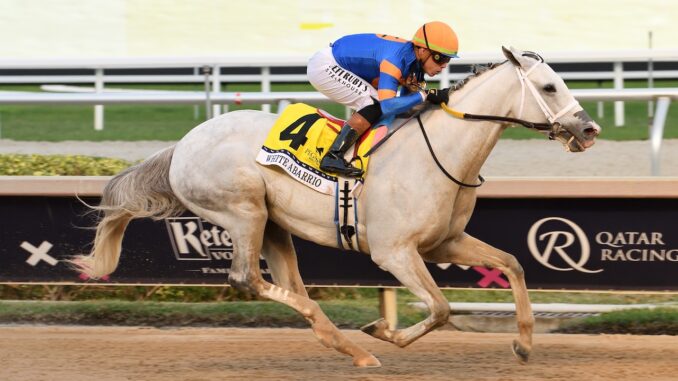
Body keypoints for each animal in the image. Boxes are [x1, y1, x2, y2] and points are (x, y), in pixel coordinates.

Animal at [71, 46, 604, 366]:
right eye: (551, 86)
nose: (588, 129)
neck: (441, 151)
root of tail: (182, 145)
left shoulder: (444, 242)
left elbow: (512, 263)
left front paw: (523, 343)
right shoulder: (394, 252)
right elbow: (440, 307)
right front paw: (384, 331)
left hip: (273, 224)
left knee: (287, 283)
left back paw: (346, 346)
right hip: (242, 212)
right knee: (248, 279)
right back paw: (355, 343)